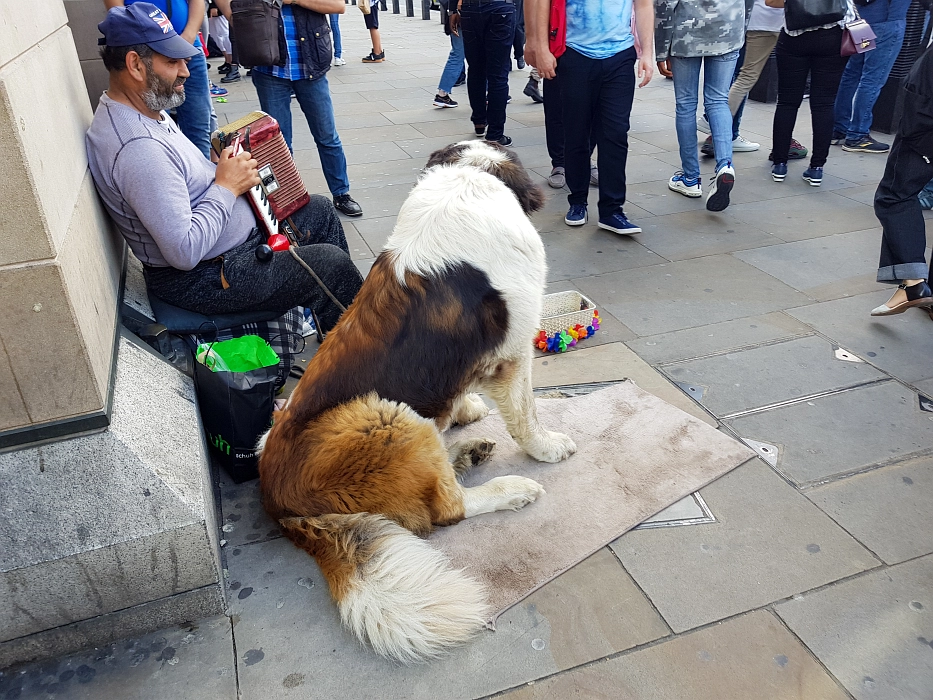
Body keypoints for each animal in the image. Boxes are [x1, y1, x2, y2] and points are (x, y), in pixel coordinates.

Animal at [256, 138, 576, 660]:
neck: (468, 177)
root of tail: (279, 506)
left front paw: (466, 411)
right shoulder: (513, 353)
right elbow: (526, 412)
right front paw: (547, 447)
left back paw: (465, 451)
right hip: (383, 415)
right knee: (447, 509)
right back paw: (508, 489)